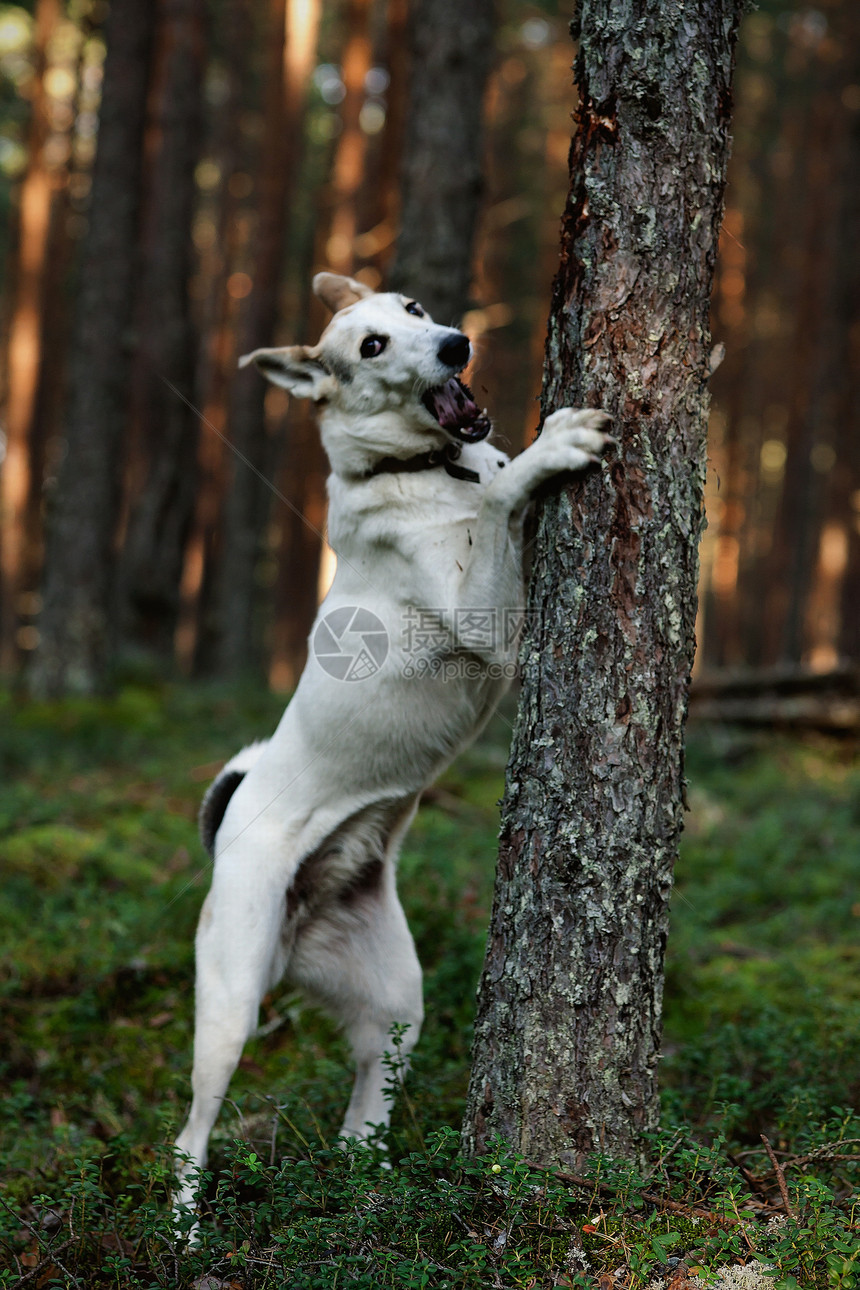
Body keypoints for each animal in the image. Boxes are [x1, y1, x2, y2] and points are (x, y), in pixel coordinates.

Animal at [172, 272, 611, 1207]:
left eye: (412, 310)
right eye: (369, 346)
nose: (456, 343)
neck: (427, 469)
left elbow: (498, 496)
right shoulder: (484, 622)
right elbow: (503, 498)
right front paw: (550, 449)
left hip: (395, 1000)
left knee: (363, 1113)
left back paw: (368, 1192)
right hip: (230, 1004)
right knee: (189, 1138)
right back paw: (183, 1226)